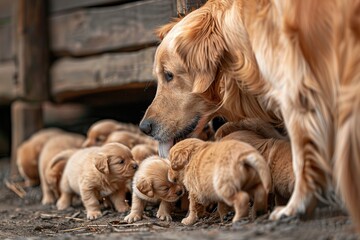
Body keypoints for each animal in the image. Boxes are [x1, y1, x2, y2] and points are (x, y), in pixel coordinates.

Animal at [140, 0, 360, 231]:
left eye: (169, 75)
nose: (144, 127)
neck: (244, 29)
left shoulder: (297, 96)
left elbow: (302, 159)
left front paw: (296, 205)